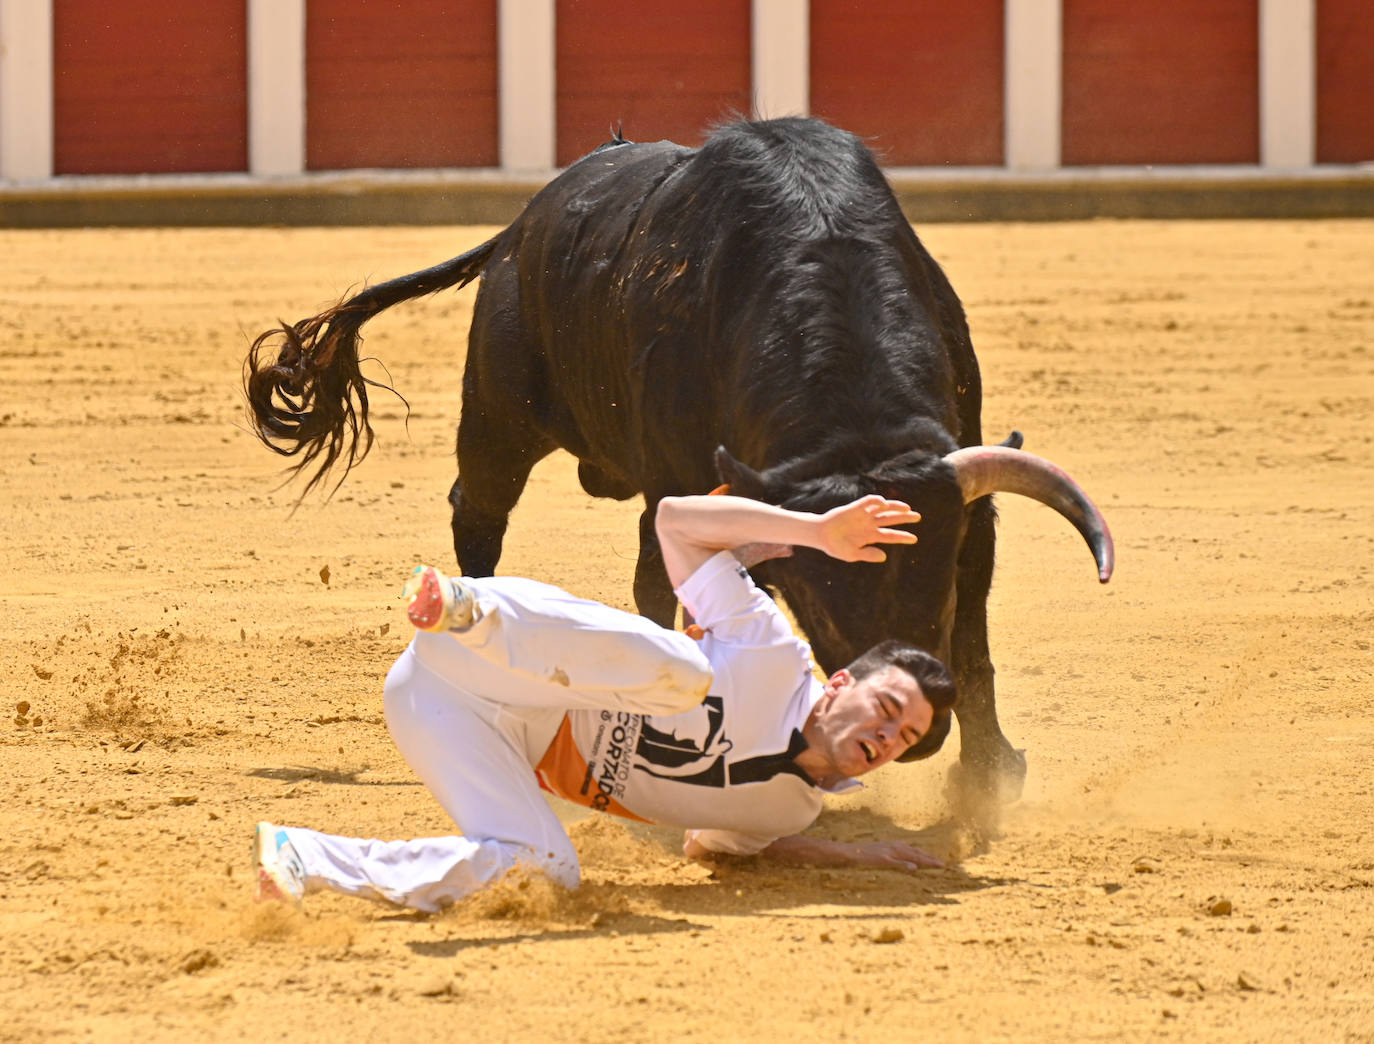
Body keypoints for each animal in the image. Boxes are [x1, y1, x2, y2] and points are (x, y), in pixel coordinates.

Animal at [241, 116, 1110, 796]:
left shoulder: (970, 513)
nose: (920, 730)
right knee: (481, 515)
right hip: (497, 416)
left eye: (938, 585)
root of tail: (526, 221)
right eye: (819, 596)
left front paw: (988, 780)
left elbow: (977, 646)